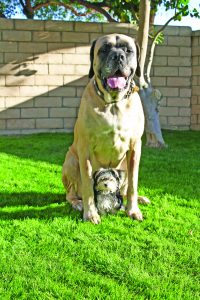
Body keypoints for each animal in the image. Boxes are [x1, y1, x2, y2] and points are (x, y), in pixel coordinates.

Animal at [62, 34, 148, 224]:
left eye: (128, 50)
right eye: (104, 49)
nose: (118, 56)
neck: (114, 104)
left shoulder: (135, 148)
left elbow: (133, 184)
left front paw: (132, 210)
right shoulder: (85, 149)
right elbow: (88, 184)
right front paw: (90, 214)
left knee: (125, 188)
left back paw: (140, 199)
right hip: (71, 161)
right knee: (70, 193)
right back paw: (77, 203)